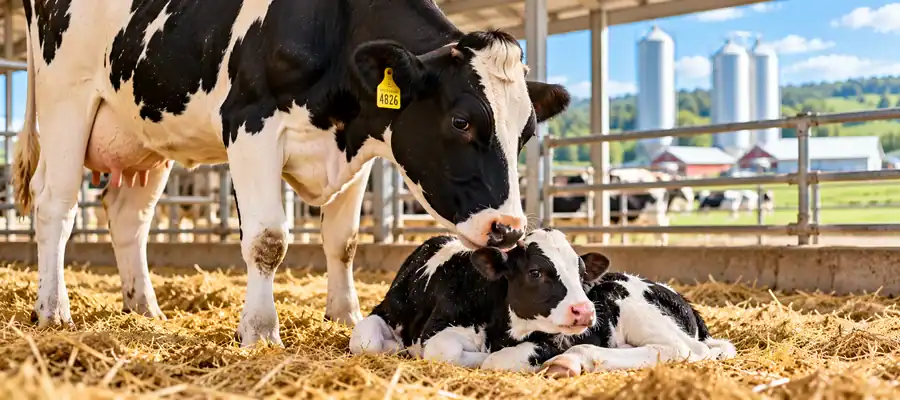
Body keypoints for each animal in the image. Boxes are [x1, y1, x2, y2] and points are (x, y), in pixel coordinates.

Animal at [10, 1, 570, 347]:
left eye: (526, 133)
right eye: (461, 121)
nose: (508, 229)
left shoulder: (358, 147)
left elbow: (342, 242)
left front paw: (344, 315)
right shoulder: (249, 124)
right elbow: (267, 240)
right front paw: (260, 332)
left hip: (142, 130)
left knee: (129, 218)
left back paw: (145, 308)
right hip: (67, 99)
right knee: (55, 205)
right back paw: (53, 310)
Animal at [349, 228, 608, 370]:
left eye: (582, 274)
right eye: (535, 272)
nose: (584, 310)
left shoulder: (557, 340)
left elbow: (496, 359)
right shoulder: (430, 327)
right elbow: (444, 349)